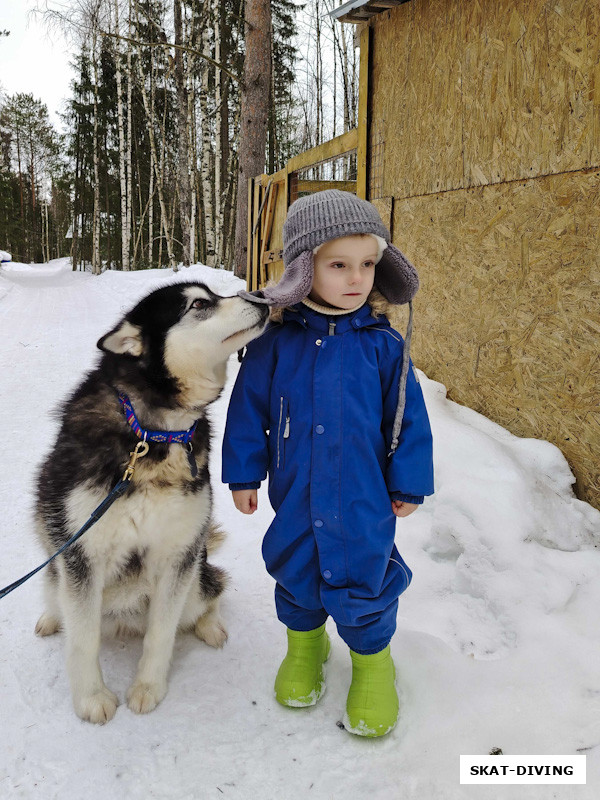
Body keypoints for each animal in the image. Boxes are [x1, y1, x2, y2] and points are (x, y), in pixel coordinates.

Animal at [32, 282, 268, 724]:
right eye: (199, 303)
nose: (262, 296)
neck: (154, 435)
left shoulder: (178, 553)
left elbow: (161, 634)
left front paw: (148, 688)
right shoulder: (82, 554)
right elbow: (82, 637)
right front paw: (91, 697)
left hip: (196, 576)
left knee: (210, 592)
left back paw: (210, 626)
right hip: (55, 558)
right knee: (57, 594)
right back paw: (52, 617)